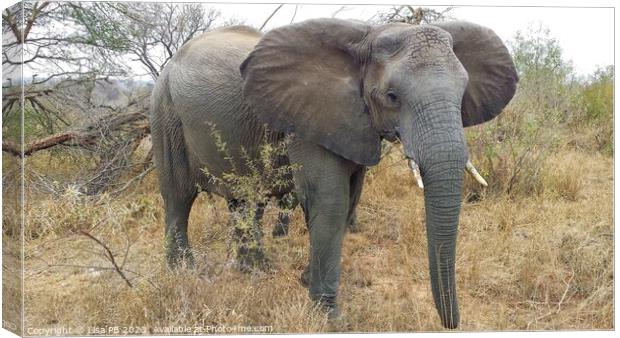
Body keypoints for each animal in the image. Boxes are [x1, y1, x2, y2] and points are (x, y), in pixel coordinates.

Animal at [151, 17, 520, 328]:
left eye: (463, 94)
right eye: (392, 96)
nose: (451, 324)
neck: (367, 37)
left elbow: (351, 196)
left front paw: (304, 282)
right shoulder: (307, 118)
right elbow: (330, 200)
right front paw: (330, 317)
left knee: (244, 201)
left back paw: (254, 270)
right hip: (165, 110)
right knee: (178, 196)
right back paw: (183, 272)